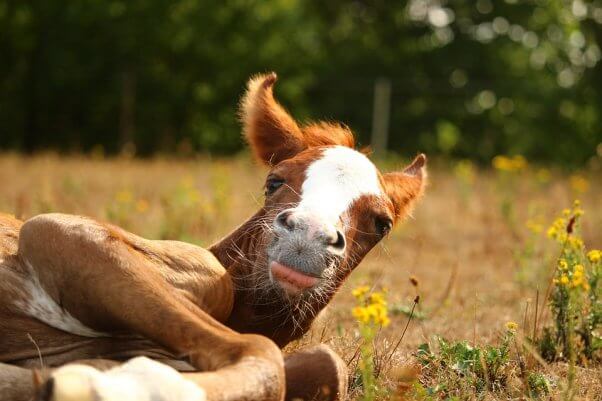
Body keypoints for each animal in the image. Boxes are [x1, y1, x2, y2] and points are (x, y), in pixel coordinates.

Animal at [0, 72, 424, 400]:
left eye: (381, 224)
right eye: (274, 181)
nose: (307, 236)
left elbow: (325, 365)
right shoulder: (61, 232)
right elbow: (261, 352)